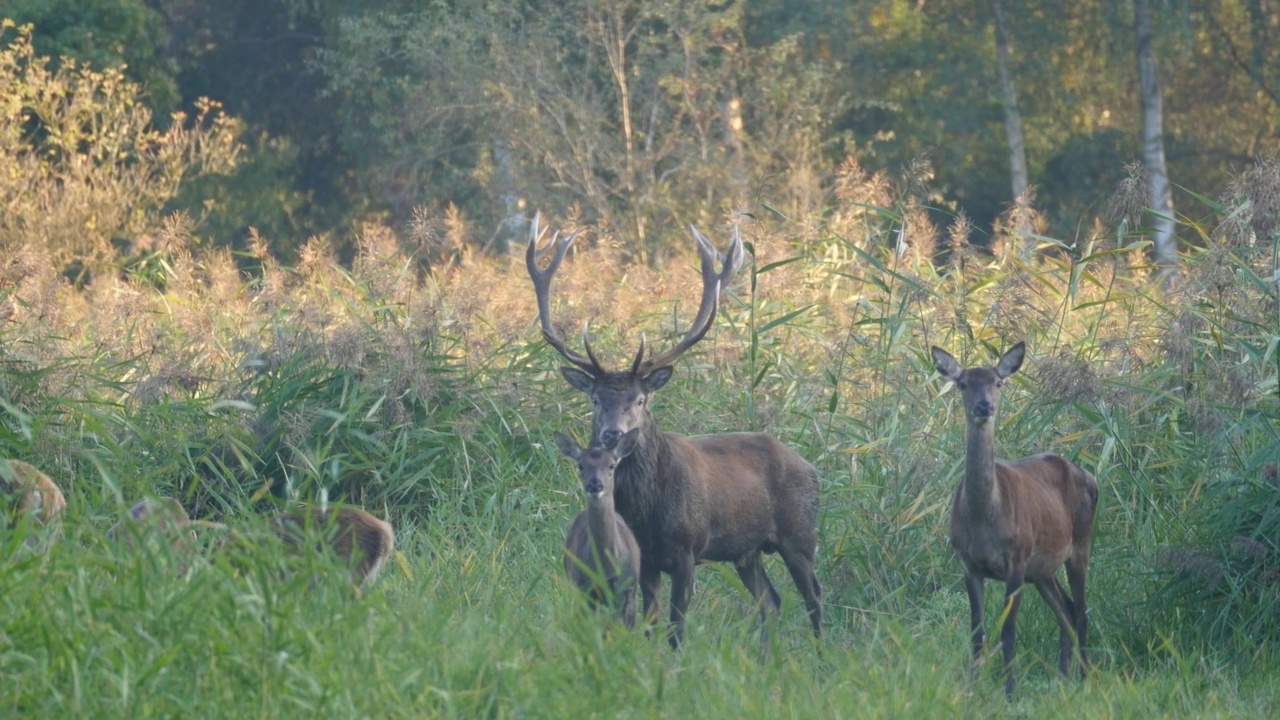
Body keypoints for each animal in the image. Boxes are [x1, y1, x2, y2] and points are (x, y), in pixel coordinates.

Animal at [931, 340, 1100, 696]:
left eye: (998, 382)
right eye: (963, 383)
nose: (984, 406)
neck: (984, 519)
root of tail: (1090, 476)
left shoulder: (1017, 559)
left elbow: (1008, 630)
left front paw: (1009, 690)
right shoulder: (968, 563)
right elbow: (976, 632)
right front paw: (973, 688)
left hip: (1080, 544)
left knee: (1081, 612)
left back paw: (1084, 677)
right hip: (1043, 569)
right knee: (1065, 610)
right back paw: (1062, 677)